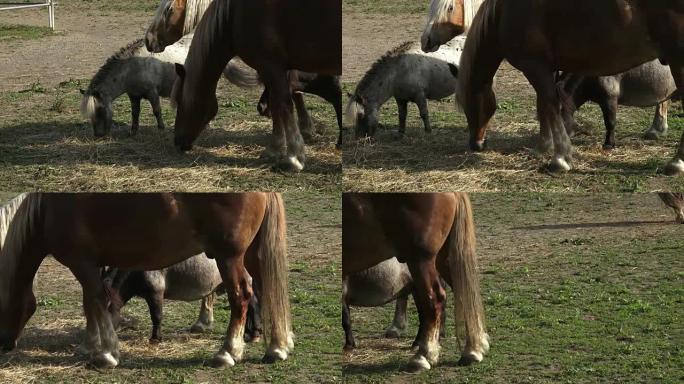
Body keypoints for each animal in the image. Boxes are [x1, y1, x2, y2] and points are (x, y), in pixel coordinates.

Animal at [0, 192, 292, 368]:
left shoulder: (81, 262)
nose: (4, 344)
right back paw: (277, 347)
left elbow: (96, 301)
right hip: (252, 254)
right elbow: (90, 303)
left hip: (229, 257)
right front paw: (90, 344)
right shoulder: (90, 265)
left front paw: (107, 353)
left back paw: (228, 353)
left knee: (242, 296)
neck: (47, 210)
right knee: (267, 290)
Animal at [170, 0, 340, 171]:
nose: (177, 141)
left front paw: (294, 158)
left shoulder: (271, 67)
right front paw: (274, 149)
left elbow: (284, 105)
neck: (233, 16)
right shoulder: (274, 70)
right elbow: (276, 104)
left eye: (179, 100)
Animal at [344, 194, 488, 370]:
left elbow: (345, 318)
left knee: (435, 300)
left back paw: (423, 356)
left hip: (420, 260)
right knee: (464, 294)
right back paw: (472, 351)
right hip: (444, 257)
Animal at [422, 0, 684, 176]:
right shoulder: (547, 69)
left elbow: (549, 104)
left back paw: (676, 162)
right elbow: (544, 106)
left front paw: (560, 158)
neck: (504, 14)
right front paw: (544, 146)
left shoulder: (535, 66)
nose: (476, 145)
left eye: (469, 105)